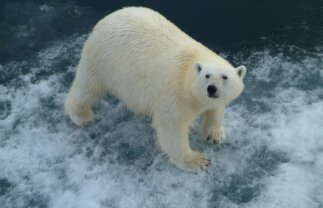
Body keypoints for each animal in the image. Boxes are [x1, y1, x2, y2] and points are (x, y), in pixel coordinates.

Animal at [63, 6, 247, 172]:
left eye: (225, 77)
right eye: (207, 76)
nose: (211, 89)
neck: (188, 70)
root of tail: (108, 17)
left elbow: (215, 109)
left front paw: (215, 135)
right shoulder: (175, 94)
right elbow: (171, 130)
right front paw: (198, 161)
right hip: (101, 60)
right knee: (88, 88)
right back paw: (83, 116)